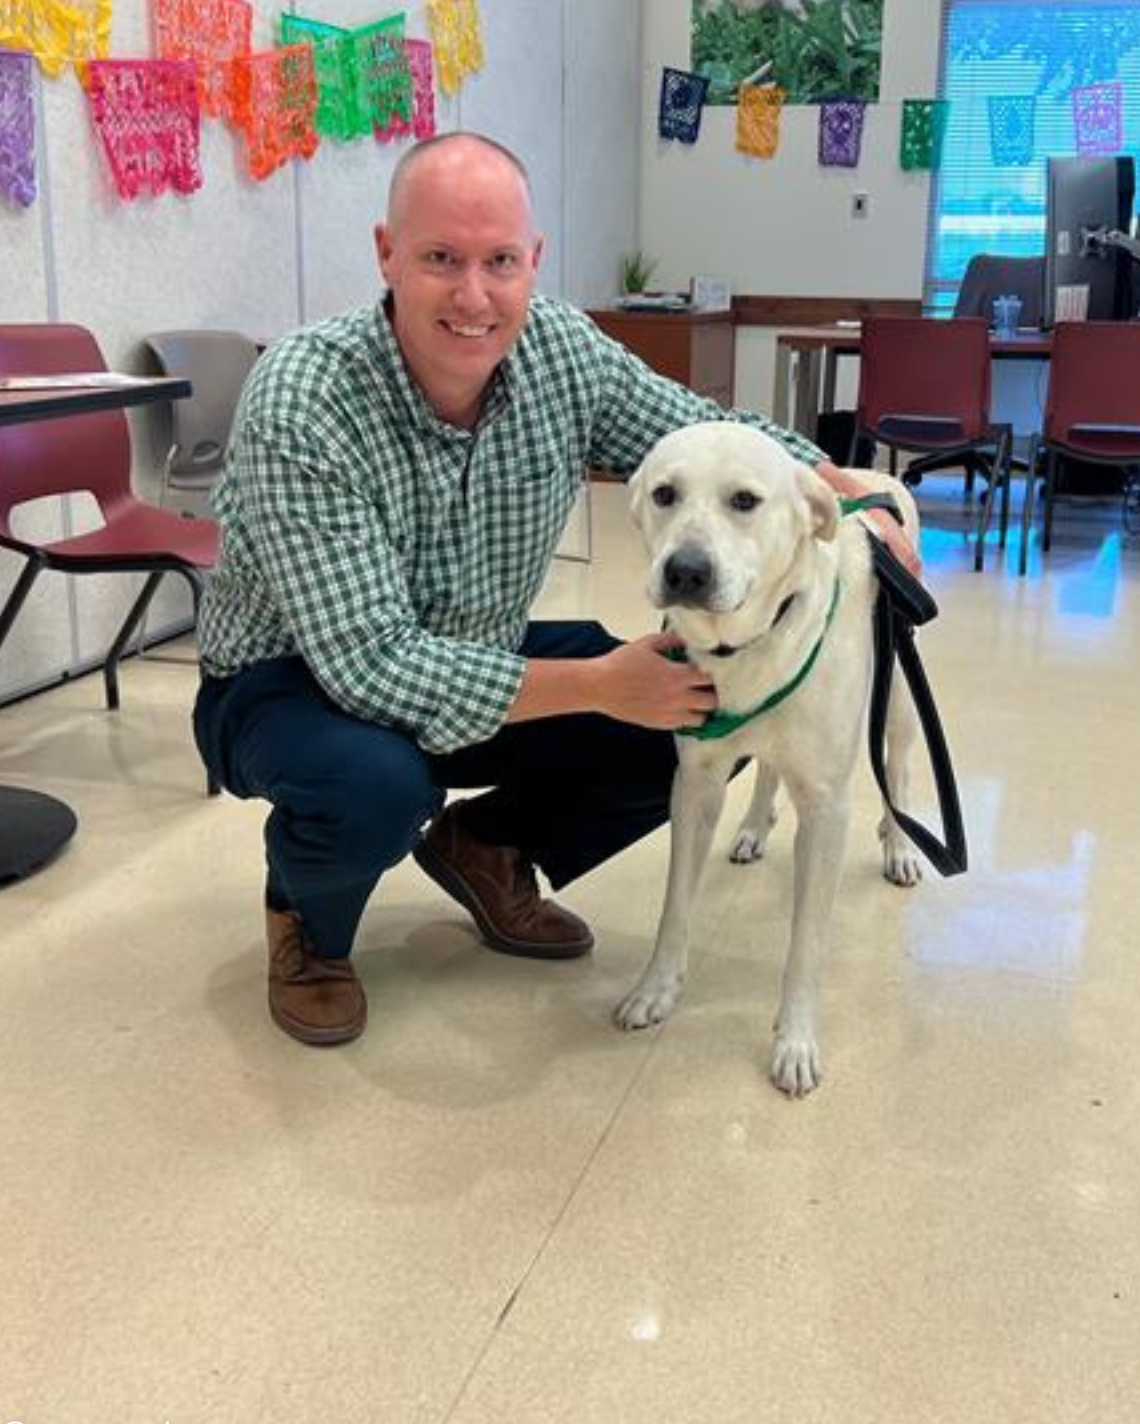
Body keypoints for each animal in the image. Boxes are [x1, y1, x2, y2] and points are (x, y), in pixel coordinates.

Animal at [614, 415, 922, 1093]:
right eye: (665, 494)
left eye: (745, 501)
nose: (686, 571)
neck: (747, 646)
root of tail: (875, 475)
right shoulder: (695, 785)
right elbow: (674, 908)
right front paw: (656, 989)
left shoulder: (828, 809)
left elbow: (805, 945)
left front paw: (796, 1040)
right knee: (770, 769)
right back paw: (755, 826)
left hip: (899, 694)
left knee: (901, 767)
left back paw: (901, 846)